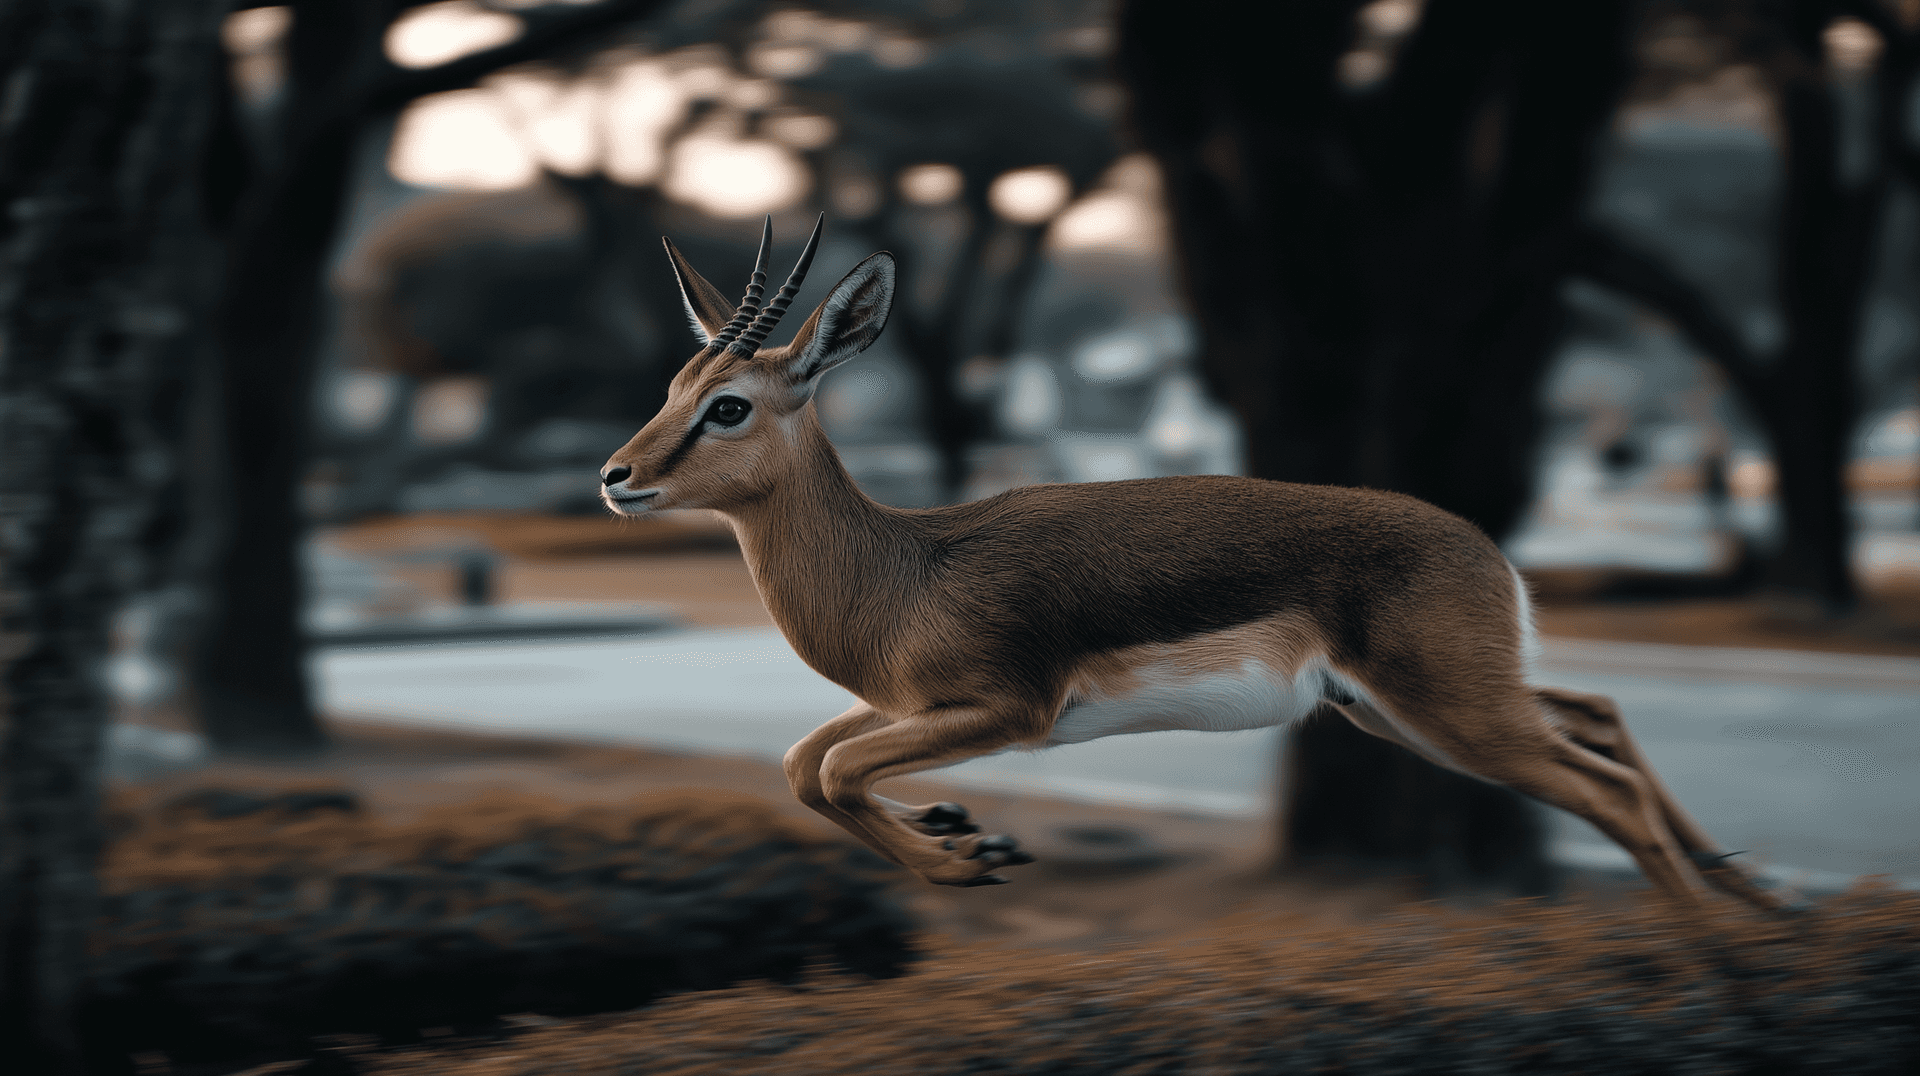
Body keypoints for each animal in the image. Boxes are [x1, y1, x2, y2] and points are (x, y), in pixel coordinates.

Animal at [601, 217, 1784, 912]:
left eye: (729, 405)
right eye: (671, 386)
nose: (617, 476)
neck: (904, 568)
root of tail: (1487, 550)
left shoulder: (1006, 710)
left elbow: (834, 767)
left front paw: (969, 852)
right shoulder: (909, 705)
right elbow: (805, 760)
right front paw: (956, 829)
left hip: (1452, 714)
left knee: (1605, 788)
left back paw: (1726, 974)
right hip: (1397, 711)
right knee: (1597, 715)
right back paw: (1755, 895)